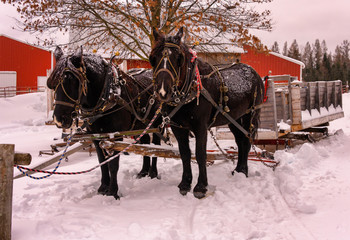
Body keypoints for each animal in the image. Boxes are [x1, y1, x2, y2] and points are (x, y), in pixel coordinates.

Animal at [46, 46, 161, 200]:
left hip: (157, 123)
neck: (108, 93)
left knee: (156, 145)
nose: (59, 119)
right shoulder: (96, 136)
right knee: (145, 143)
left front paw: (113, 192)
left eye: (70, 80)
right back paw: (143, 171)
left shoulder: (115, 136)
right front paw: (103, 188)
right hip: (140, 125)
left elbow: (113, 165)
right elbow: (102, 162)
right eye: (52, 84)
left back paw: (153, 173)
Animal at [149, 27, 264, 199]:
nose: (163, 92)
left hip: (250, 115)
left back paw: (243, 171)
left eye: (178, 58)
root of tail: (253, 72)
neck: (191, 87)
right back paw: (238, 170)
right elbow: (185, 153)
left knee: (247, 141)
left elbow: (200, 154)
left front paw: (201, 187)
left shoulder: (201, 127)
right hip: (234, 119)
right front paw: (185, 184)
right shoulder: (178, 128)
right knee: (240, 142)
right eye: (153, 58)